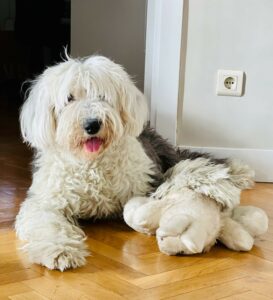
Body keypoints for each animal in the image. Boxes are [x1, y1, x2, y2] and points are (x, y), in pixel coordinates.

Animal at [16, 55, 268, 270]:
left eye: (102, 96)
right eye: (69, 98)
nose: (92, 124)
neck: (93, 164)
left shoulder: (148, 181)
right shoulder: (46, 201)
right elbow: (47, 223)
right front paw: (61, 252)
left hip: (163, 155)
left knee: (191, 158)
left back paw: (238, 171)